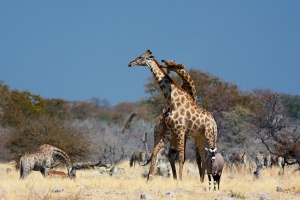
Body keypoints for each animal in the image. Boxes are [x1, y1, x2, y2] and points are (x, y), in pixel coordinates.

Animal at [127, 50, 217, 181]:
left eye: (140, 57)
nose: (130, 63)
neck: (174, 100)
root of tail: (214, 122)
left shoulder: (181, 131)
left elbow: (182, 157)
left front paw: (180, 179)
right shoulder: (174, 131)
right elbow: (171, 155)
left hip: (209, 134)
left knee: (210, 155)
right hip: (197, 136)